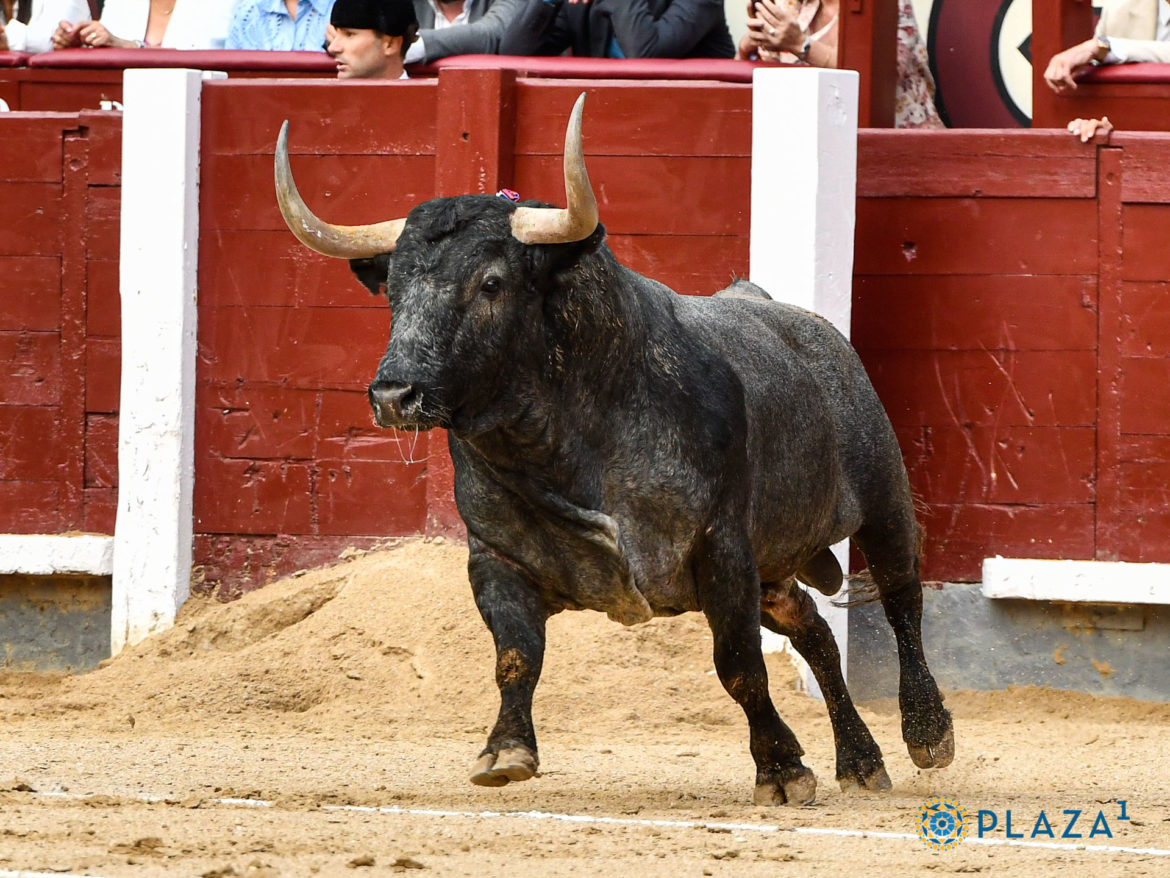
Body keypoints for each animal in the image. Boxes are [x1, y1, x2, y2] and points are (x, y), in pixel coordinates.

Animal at [273, 94, 950, 805]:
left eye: (490, 284)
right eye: (395, 289)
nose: (394, 394)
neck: (559, 441)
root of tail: (813, 328)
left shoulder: (721, 547)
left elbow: (738, 666)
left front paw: (783, 770)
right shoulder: (495, 558)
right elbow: (515, 656)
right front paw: (505, 750)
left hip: (881, 497)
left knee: (902, 598)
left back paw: (927, 732)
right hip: (773, 566)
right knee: (815, 631)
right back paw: (861, 760)